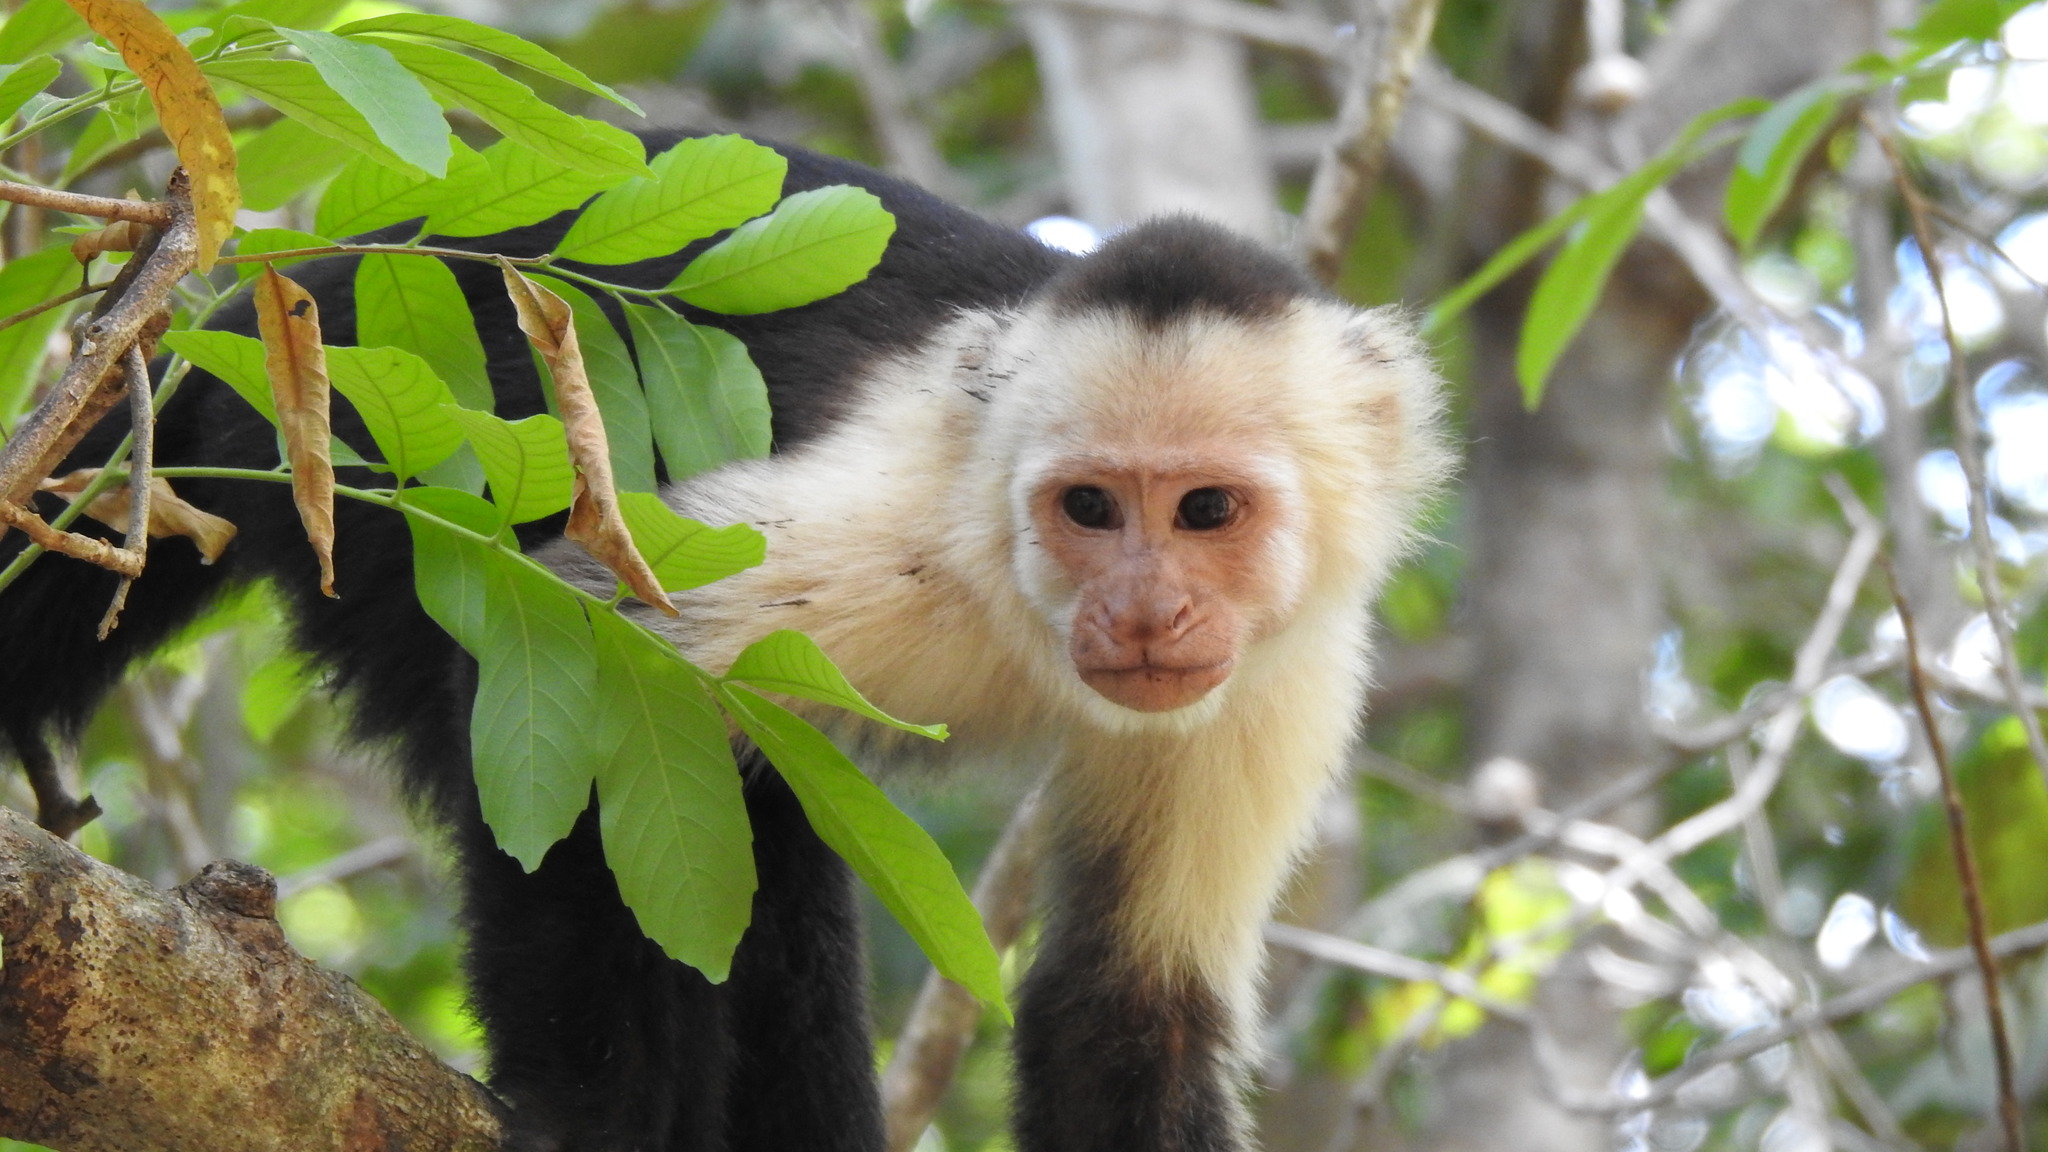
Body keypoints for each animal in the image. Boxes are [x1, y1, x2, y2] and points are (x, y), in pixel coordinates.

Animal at [0, 129, 1450, 1152]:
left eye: (1206, 511)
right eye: (1088, 508)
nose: (1143, 612)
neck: (1025, 622)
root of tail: (297, 282)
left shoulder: (1286, 667)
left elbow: (1127, 1005)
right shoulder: (904, 539)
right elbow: (591, 638)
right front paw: (587, 1120)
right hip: (365, 463)